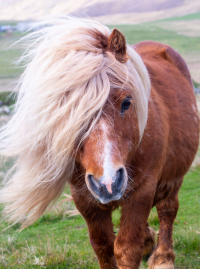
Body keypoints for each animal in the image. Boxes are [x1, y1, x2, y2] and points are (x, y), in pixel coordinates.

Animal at [0, 16, 199, 268]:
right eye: (68, 110)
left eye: (127, 103)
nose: (108, 182)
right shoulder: (84, 198)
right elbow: (103, 246)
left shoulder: (142, 191)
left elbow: (126, 247)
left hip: (173, 176)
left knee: (167, 210)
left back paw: (163, 258)